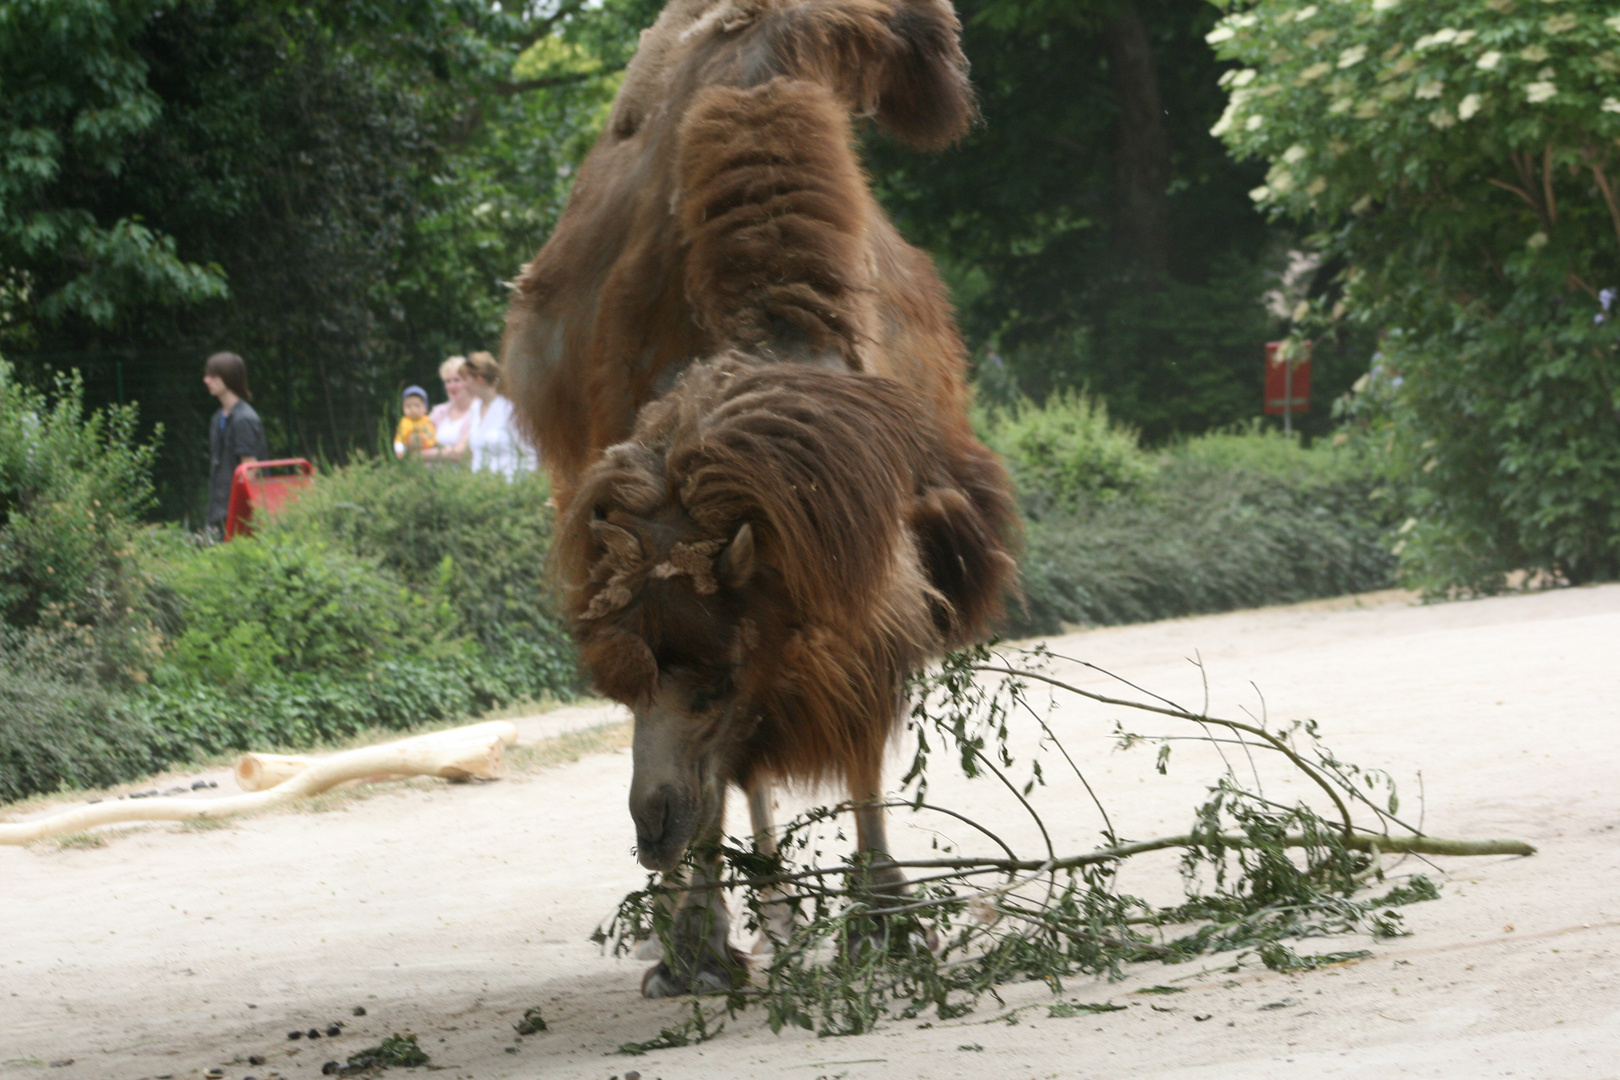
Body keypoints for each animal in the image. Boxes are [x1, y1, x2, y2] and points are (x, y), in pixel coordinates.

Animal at [502, 0, 1010, 997]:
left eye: (718, 679)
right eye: (626, 682)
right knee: (738, 779)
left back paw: (777, 907)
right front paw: (696, 946)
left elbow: (854, 725)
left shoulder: (863, 556)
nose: (650, 828)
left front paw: (886, 918)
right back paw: (719, 916)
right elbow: (727, 771)